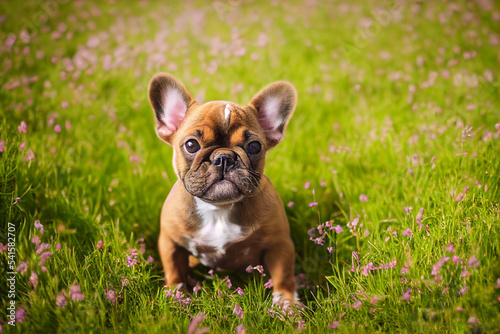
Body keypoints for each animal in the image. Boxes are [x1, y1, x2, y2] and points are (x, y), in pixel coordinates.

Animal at [148, 73, 296, 302]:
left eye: (255, 147)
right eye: (191, 145)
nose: (224, 157)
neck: (219, 209)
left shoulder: (279, 244)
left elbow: (284, 275)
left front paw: (288, 304)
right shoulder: (170, 241)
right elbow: (174, 270)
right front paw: (176, 296)